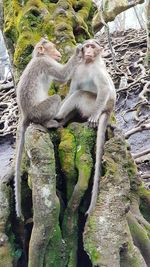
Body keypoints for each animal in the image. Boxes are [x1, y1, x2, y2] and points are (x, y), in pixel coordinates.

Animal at [14, 38, 81, 220]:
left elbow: (61, 80)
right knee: (55, 98)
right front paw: (78, 51)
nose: (58, 53)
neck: (38, 56)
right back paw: (48, 122)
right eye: (53, 48)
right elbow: (63, 76)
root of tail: (26, 114)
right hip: (40, 111)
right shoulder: (46, 63)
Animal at [55, 39, 116, 216]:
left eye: (92, 47)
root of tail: (108, 111)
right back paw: (60, 121)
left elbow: (105, 89)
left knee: (80, 95)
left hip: (93, 105)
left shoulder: (97, 70)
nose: (88, 51)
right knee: (75, 95)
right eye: (87, 46)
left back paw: (57, 118)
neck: (89, 63)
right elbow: (72, 89)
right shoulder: (78, 69)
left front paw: (94, 117)